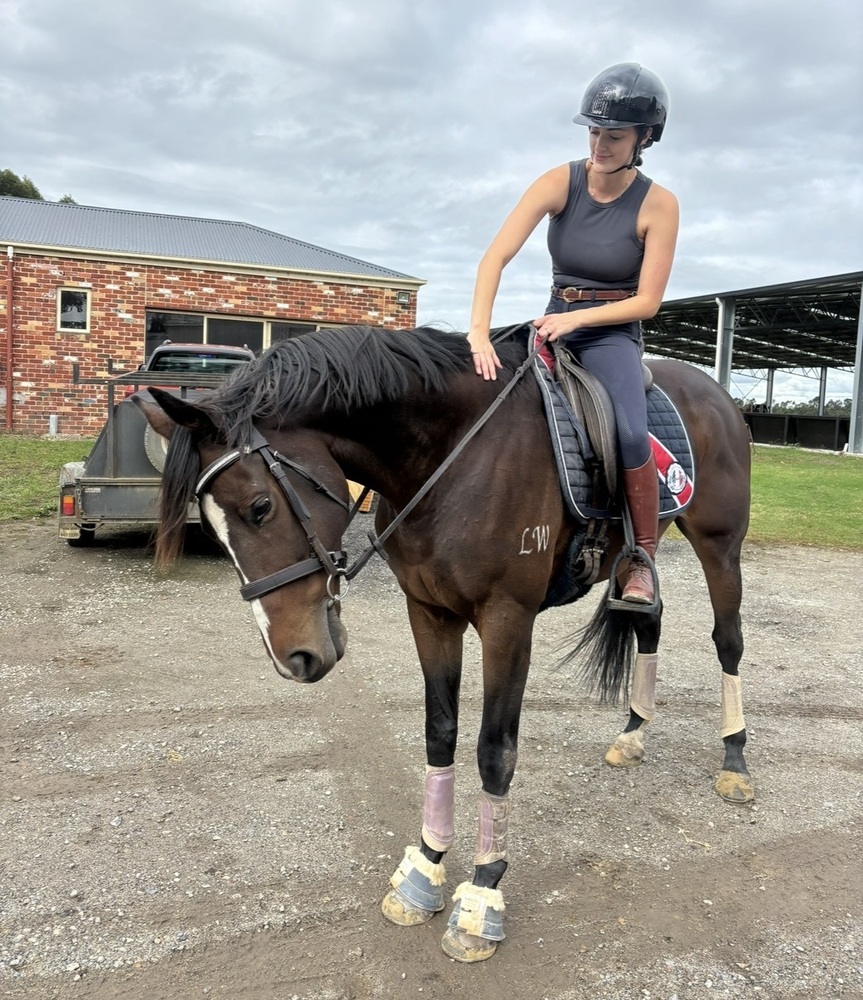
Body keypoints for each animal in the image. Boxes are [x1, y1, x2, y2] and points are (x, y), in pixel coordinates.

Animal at [136, 323, 752, 963]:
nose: (294, 658)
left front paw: (481, 895)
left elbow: (494, 750)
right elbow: (440, 733)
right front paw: (425, 869)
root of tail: (714, 390)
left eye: (259, 507)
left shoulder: (508, 620)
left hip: (720, 545)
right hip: (642, 564)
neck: (453, 455)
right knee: (649, 621)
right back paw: (633, 735)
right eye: (211, 530)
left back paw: (735, 758)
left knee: (728, 640)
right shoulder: (429, 613)